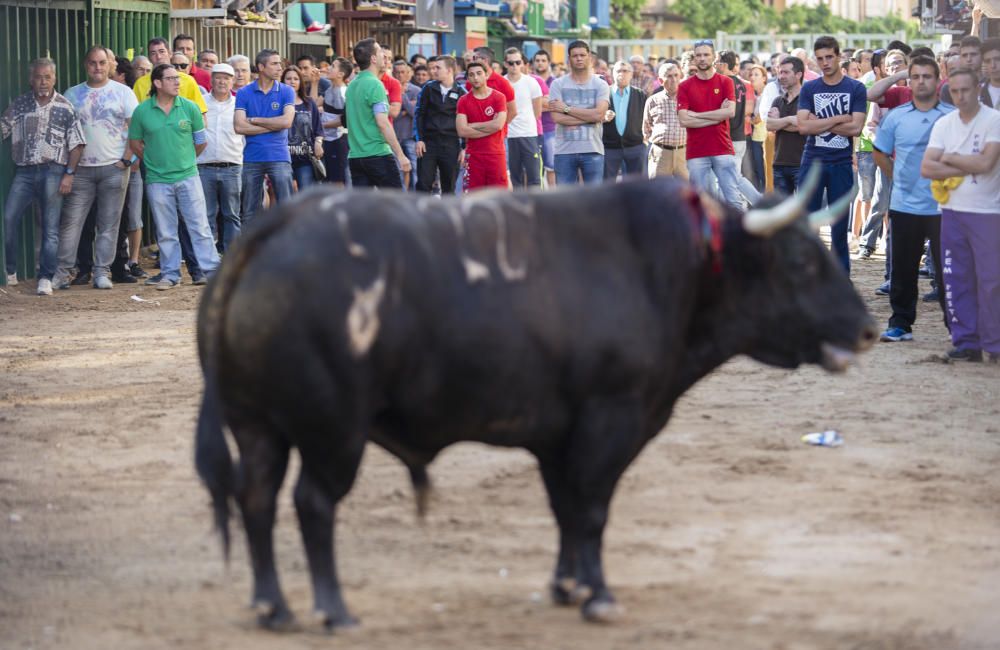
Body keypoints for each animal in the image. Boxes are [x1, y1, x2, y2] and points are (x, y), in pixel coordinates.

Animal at [193, 177, 876, 628]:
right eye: (800, 260)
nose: (868, 330)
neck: (671, 267)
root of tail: (276, 225)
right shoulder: (610, 416)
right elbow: (593, 509)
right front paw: (598, 595)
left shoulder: (557, 434)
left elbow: (566, 509)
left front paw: (567, 584)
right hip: (334, 431)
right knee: (311, 504)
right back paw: (333, 610)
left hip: (258, 425)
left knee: (255, 499)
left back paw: (273, 606)